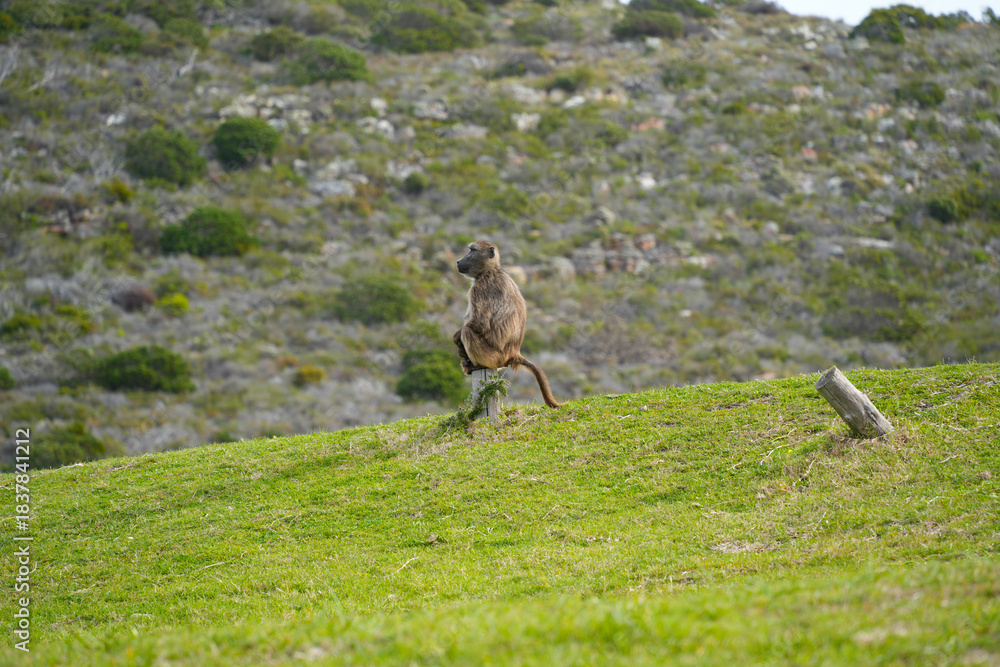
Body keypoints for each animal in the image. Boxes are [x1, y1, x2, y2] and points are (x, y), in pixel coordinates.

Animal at [453, 240, 562, 408]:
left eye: (472, 250)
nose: (458, 261)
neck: (491, 271)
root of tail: (514, 353)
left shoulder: (479, 289)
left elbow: (479, 324)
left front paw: (458, 342)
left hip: (493, 357)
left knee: (467, 332)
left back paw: (475, 365)